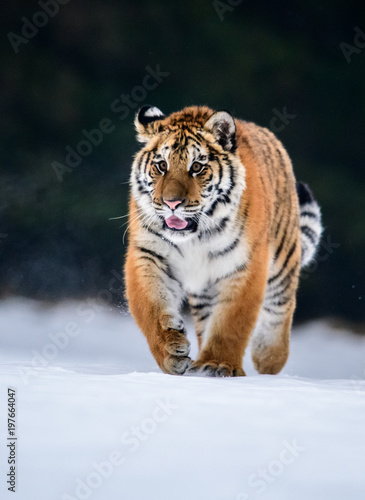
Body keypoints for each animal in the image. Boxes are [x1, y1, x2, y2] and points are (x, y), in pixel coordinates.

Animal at [123, 106, 322, 378]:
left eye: (197, 167)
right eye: (162, 165)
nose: (171, 203)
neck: (195, 237)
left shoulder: (245, 265)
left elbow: (231, 322)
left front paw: (216, 364)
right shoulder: (148, 254)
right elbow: (150, 307)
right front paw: (171, 352)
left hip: (283, 258)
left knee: (281, 305)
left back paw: (269, 357)